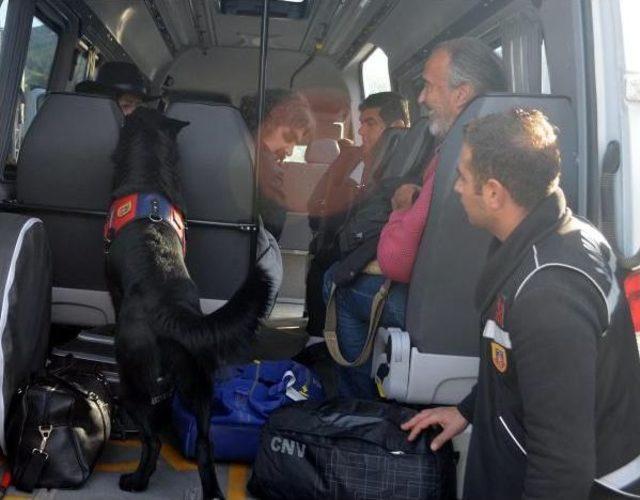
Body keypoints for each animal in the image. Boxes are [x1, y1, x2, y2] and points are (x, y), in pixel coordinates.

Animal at [105, 107, 270, 498]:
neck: (149, 174)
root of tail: (170, 310)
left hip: (132, 381)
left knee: (152, 440)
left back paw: (136, 480)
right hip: (201, 387)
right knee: (205, 445)